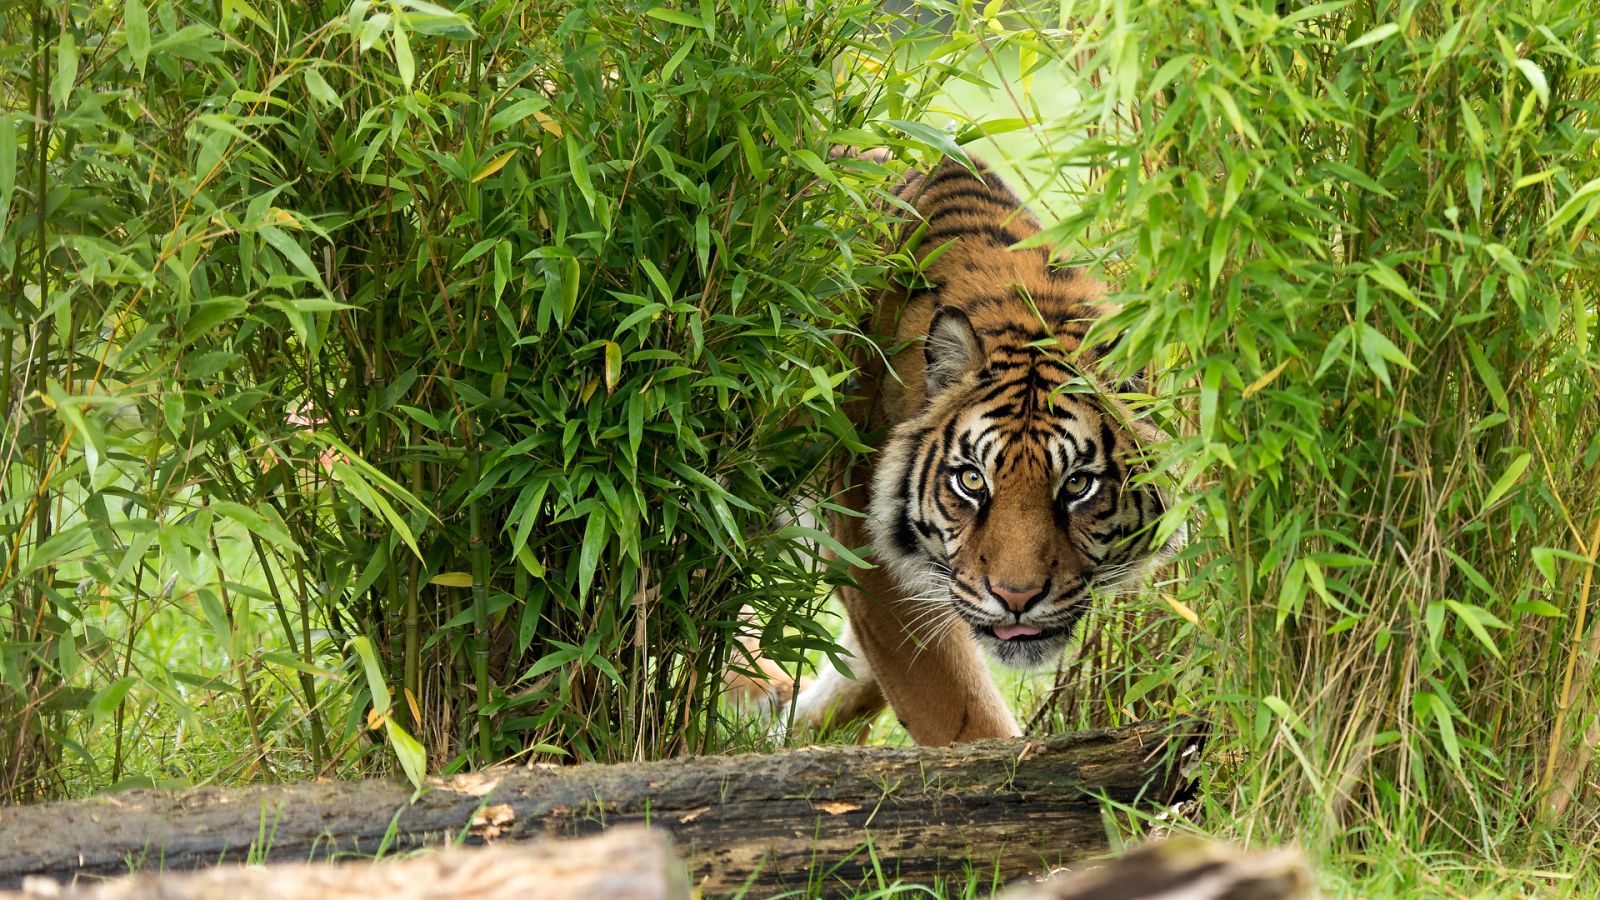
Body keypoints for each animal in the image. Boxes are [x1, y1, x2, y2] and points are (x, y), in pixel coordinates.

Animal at [729, 152, 1186, 746]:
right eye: (971, 480)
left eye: (1078, 484)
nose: (1017, 599)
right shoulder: (874, 559)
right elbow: (962, 718)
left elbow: (862, 677)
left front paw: (798, 727)